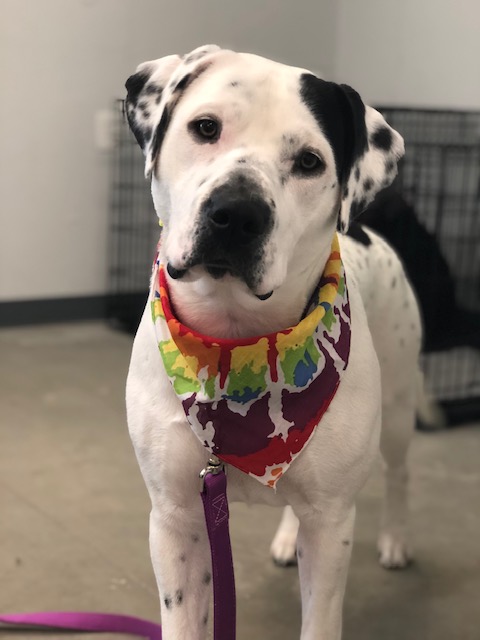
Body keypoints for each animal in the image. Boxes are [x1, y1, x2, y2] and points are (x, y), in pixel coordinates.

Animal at [125, 46, 422, 640]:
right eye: (205, 127)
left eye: (309, 162)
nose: (237, 212)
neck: (234, 349)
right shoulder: (175, 520)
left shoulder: (332, 525)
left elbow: (321, 616)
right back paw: (287, 536)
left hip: (400, 406)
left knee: (399, 472)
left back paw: (396, 539)